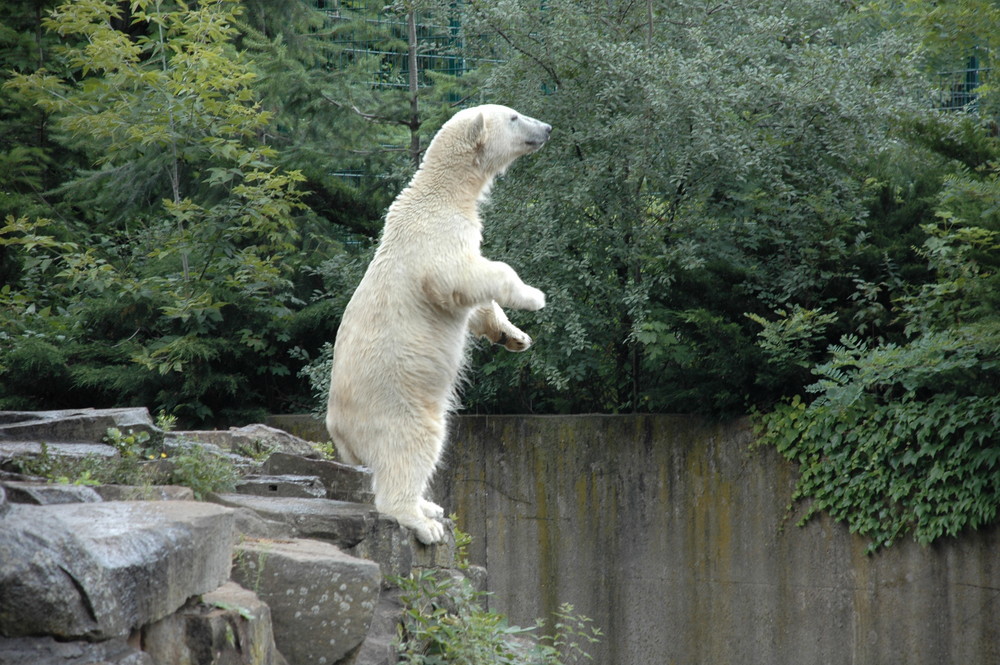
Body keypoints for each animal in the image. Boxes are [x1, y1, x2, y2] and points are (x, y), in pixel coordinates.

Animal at [324, 102, 552, 540]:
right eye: (514, 117)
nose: (548, 128)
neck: (441, 194)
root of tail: (339, 433)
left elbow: (474, 300)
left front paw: (514, 336)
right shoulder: (436, 240)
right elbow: (464, 276)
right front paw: (534, 297)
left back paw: (429, 506)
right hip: (396, 404)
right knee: (414, 446)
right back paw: (421, 521)